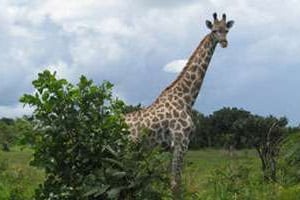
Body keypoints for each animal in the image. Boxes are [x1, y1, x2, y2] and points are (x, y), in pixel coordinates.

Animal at [124, 12, 234, 194]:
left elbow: (173, 181)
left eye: (226, 30)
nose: (225, 43)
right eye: (214, 30)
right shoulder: (181, 141)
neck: (186, 99)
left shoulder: (172, 145)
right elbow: (176, 183)